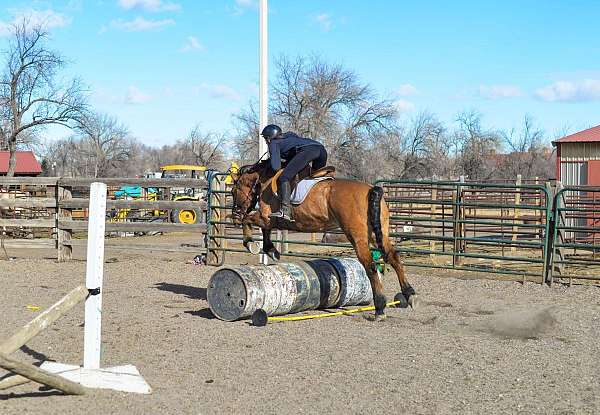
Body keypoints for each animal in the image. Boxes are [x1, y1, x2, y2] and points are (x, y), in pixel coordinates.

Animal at [230, 161, 418, 320]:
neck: (265, 180)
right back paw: (409, 294)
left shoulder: (266, 218)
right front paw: (271, 250)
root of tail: (371, 189)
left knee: (370, 266)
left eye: (233, 191)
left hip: (357, 236)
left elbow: (249, 220)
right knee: (393, 257)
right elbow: (263, 229)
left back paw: (379, 308)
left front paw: (251, 243)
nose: (235, 214)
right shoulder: (269, 220)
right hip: (378, 233)